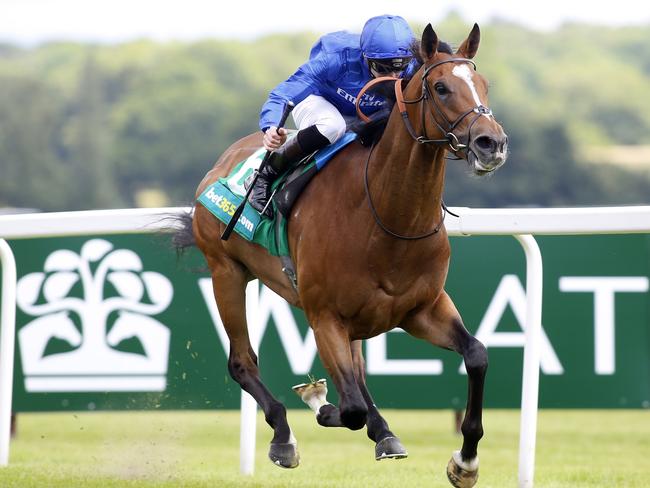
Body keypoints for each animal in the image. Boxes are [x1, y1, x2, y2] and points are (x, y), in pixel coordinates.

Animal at [176, 23, 506, 488]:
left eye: (483, 84)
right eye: (441, 87)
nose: (491, 142)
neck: (386, 215)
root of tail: (223, 162)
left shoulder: (421, 309)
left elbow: (476, 354)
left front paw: (466, 460)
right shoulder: (324, 315)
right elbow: (347, 409)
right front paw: (318, 401)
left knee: (358, 373)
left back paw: (384, 433)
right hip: (226, 272)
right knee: (242, 363)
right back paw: (285, 436)